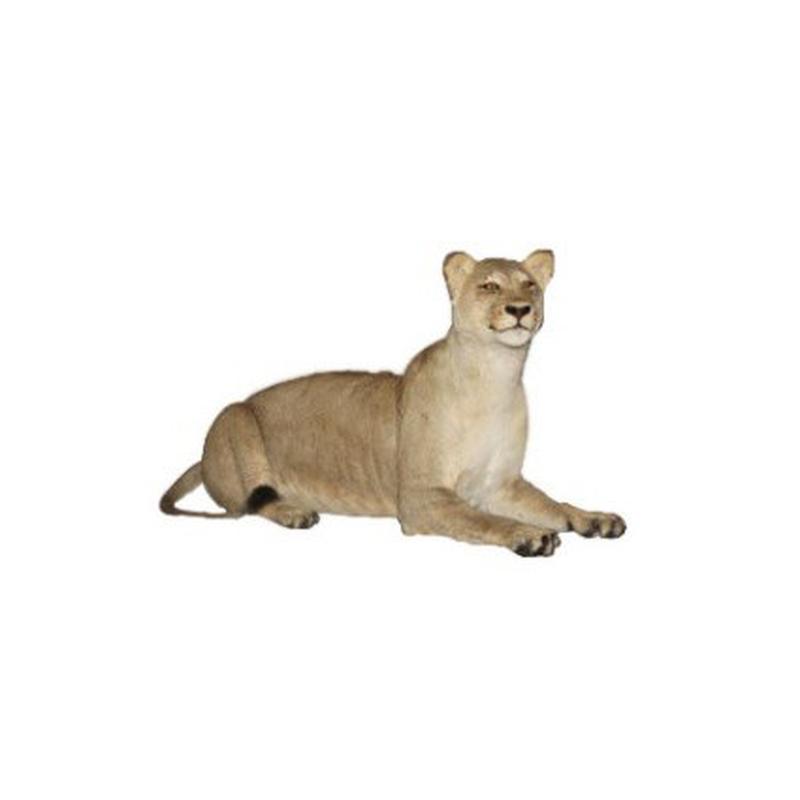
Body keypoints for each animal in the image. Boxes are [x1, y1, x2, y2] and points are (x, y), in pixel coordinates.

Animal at [160, 249, 626, 556]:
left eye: (529, 284)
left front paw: (594, 518)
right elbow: (482, 520)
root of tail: (203, 458)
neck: (497, 374)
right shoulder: (421, 498)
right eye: (489, 285)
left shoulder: (501, 484)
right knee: (249, 501)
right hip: (235, 414)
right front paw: (527, 534)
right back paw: (295, 512)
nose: (519, 309)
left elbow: (552, 504)